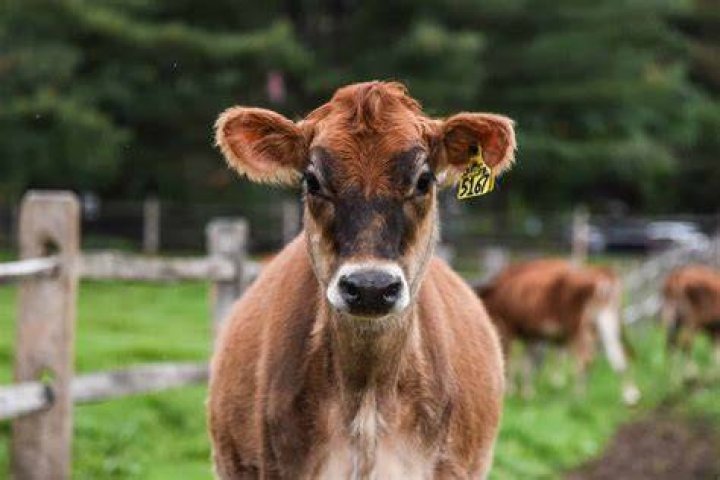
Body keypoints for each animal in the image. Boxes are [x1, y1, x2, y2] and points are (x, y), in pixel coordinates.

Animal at [476, 259, 640, 405]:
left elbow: (510, 359)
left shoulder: (508, 327)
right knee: (619, 354)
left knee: (585, 360)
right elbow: (528, 361)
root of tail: (600, 272)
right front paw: (527, 392)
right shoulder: (531, 334)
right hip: (606, 320)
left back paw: (578, 397)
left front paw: (511, 390)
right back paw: (630, 396)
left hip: (578, 327)